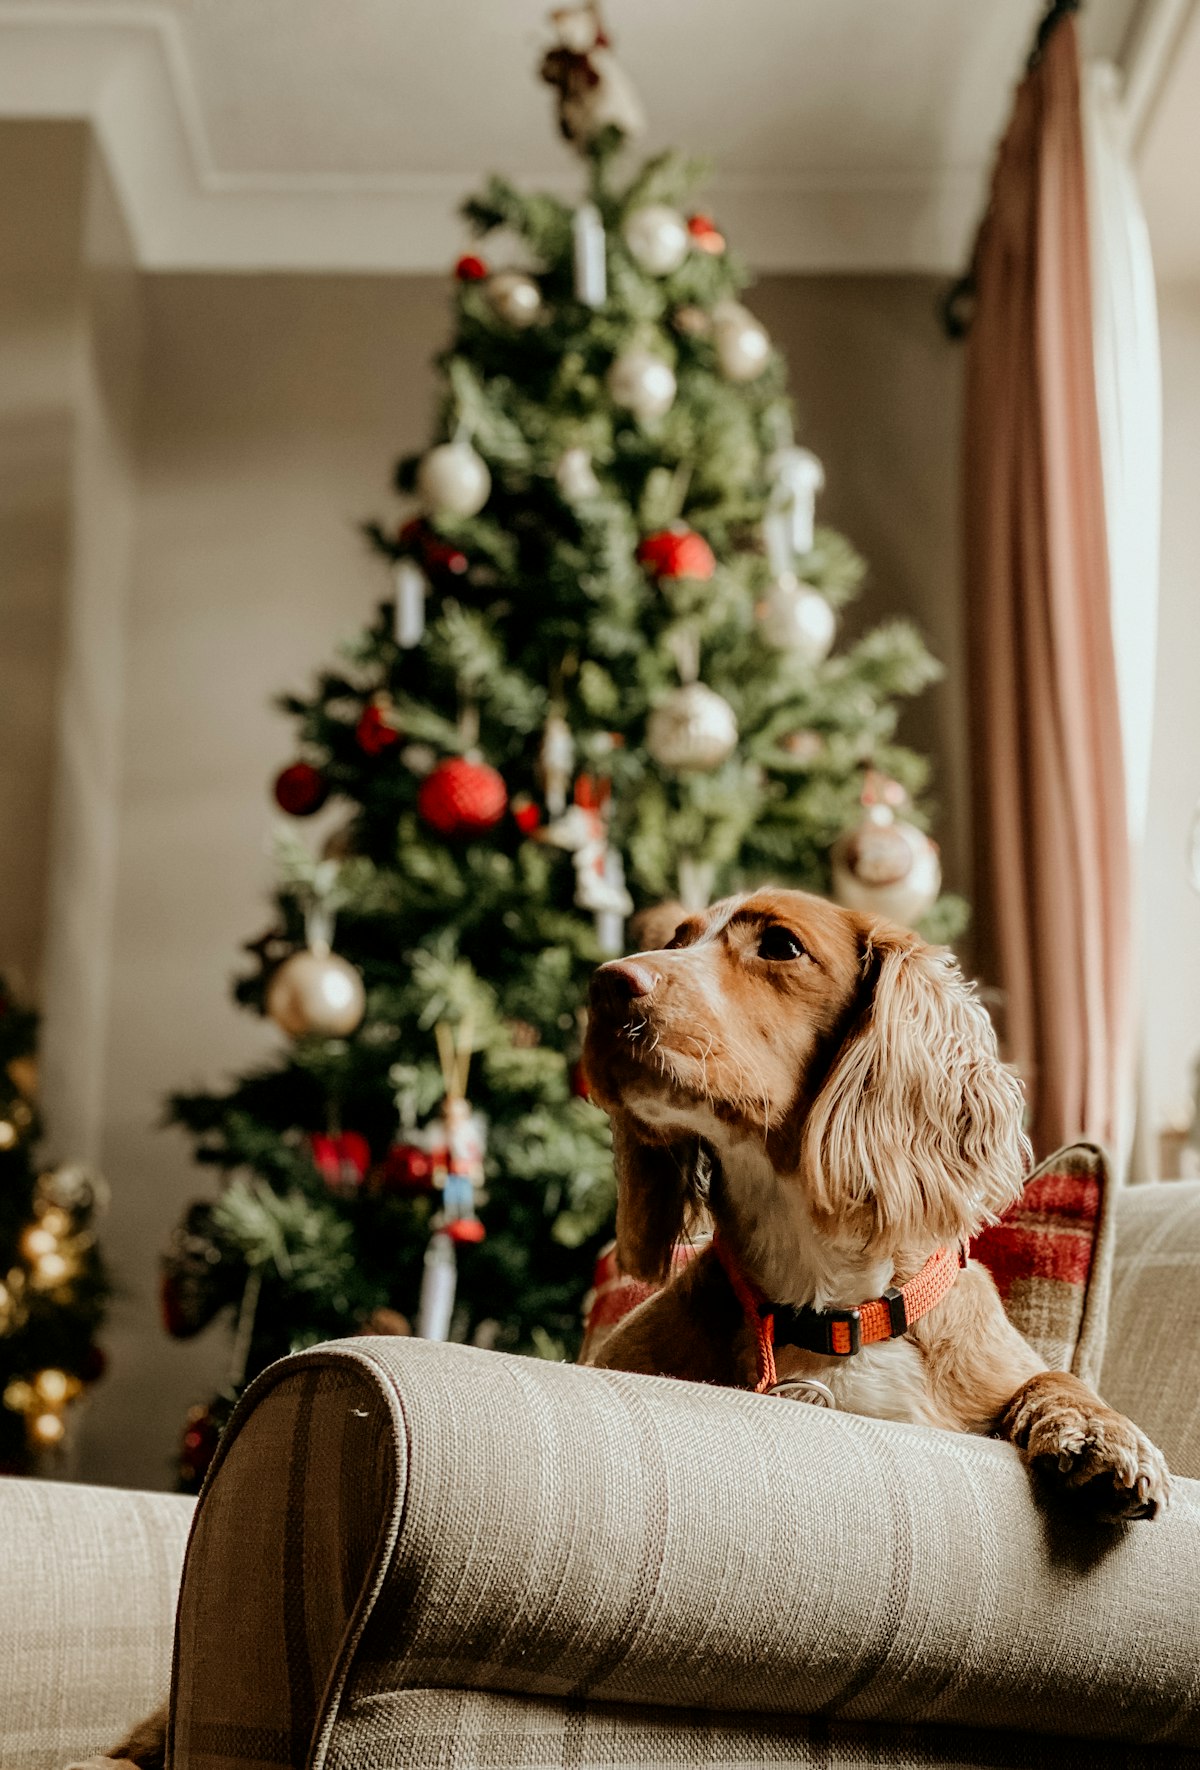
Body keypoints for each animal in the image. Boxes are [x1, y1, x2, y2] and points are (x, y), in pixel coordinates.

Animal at [587, 885, 1168, 1522]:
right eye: (677, 941)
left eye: (781, 945)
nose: (605, 983)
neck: (831, 1310)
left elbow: (1053, 1379)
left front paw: (1100, 1431)